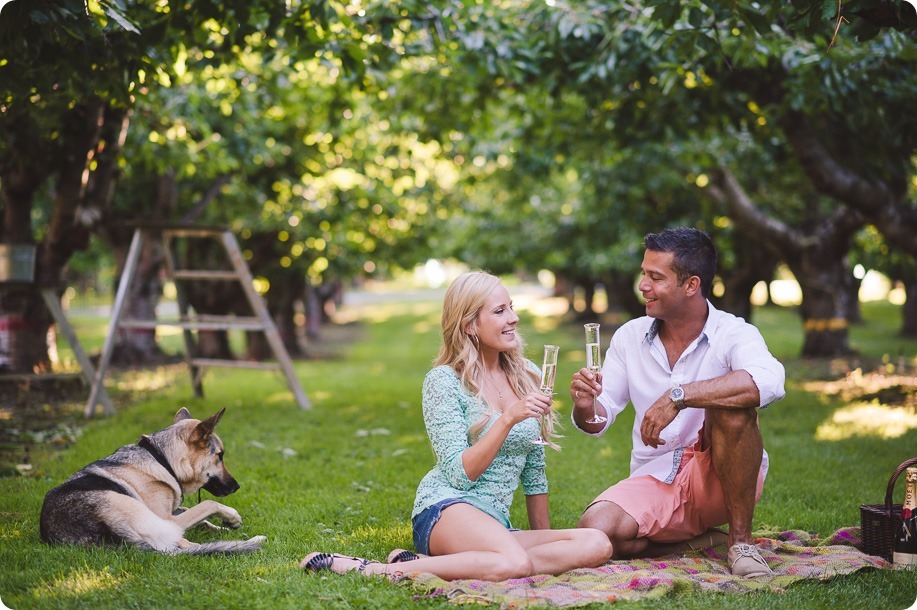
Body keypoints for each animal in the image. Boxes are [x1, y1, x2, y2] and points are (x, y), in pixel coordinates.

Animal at [41, 406, 266, 552]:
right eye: (220, 455)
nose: (237, 486)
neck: (163, 460)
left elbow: (200, 517)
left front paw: (227, 524)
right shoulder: (168, 518)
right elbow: (208, 505)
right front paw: (231, 516)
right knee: (189, 545)